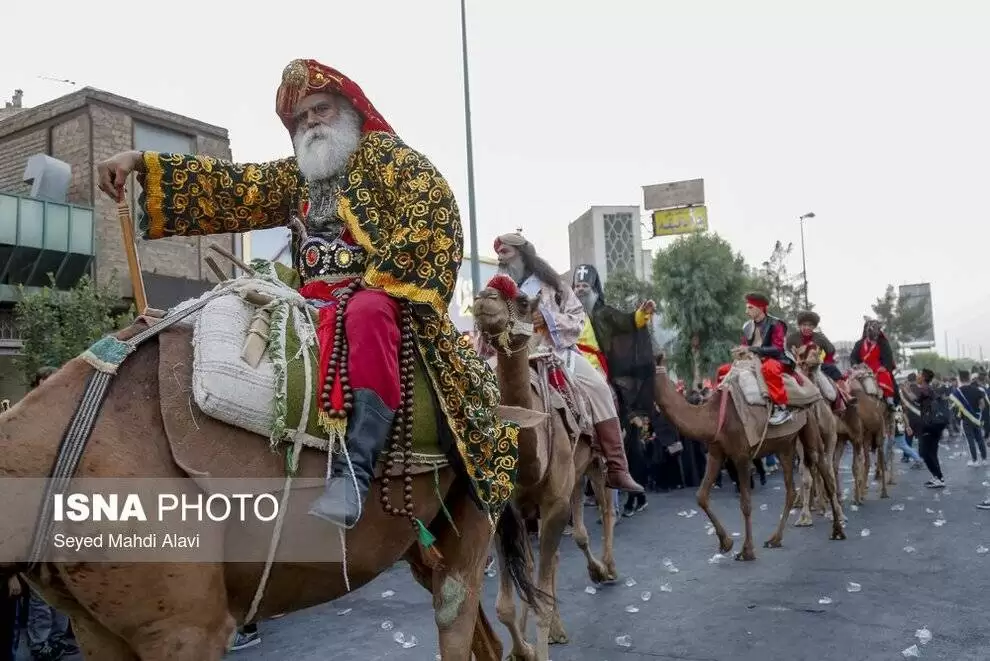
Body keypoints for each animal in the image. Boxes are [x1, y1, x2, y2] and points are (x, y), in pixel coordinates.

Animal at [472, 280, 572, 660]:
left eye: (524, 300)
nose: (485, 297)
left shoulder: (557, 506)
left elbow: (542, 596)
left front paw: (538, 644)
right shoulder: (503, 512)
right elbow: (505, 604)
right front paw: (523, 649)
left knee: (552, 562)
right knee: (530, 569)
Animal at [656, 354, 840, 560]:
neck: (713, 417)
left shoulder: (742, 455)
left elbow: (746, 503)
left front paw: (747, 550)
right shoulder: (716, 452)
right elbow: (701, 496)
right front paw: (726, 543)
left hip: (810, 424)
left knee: (823, 466)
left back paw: (837, 529)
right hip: (785, 445)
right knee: (791, 489)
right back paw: (775, 539)